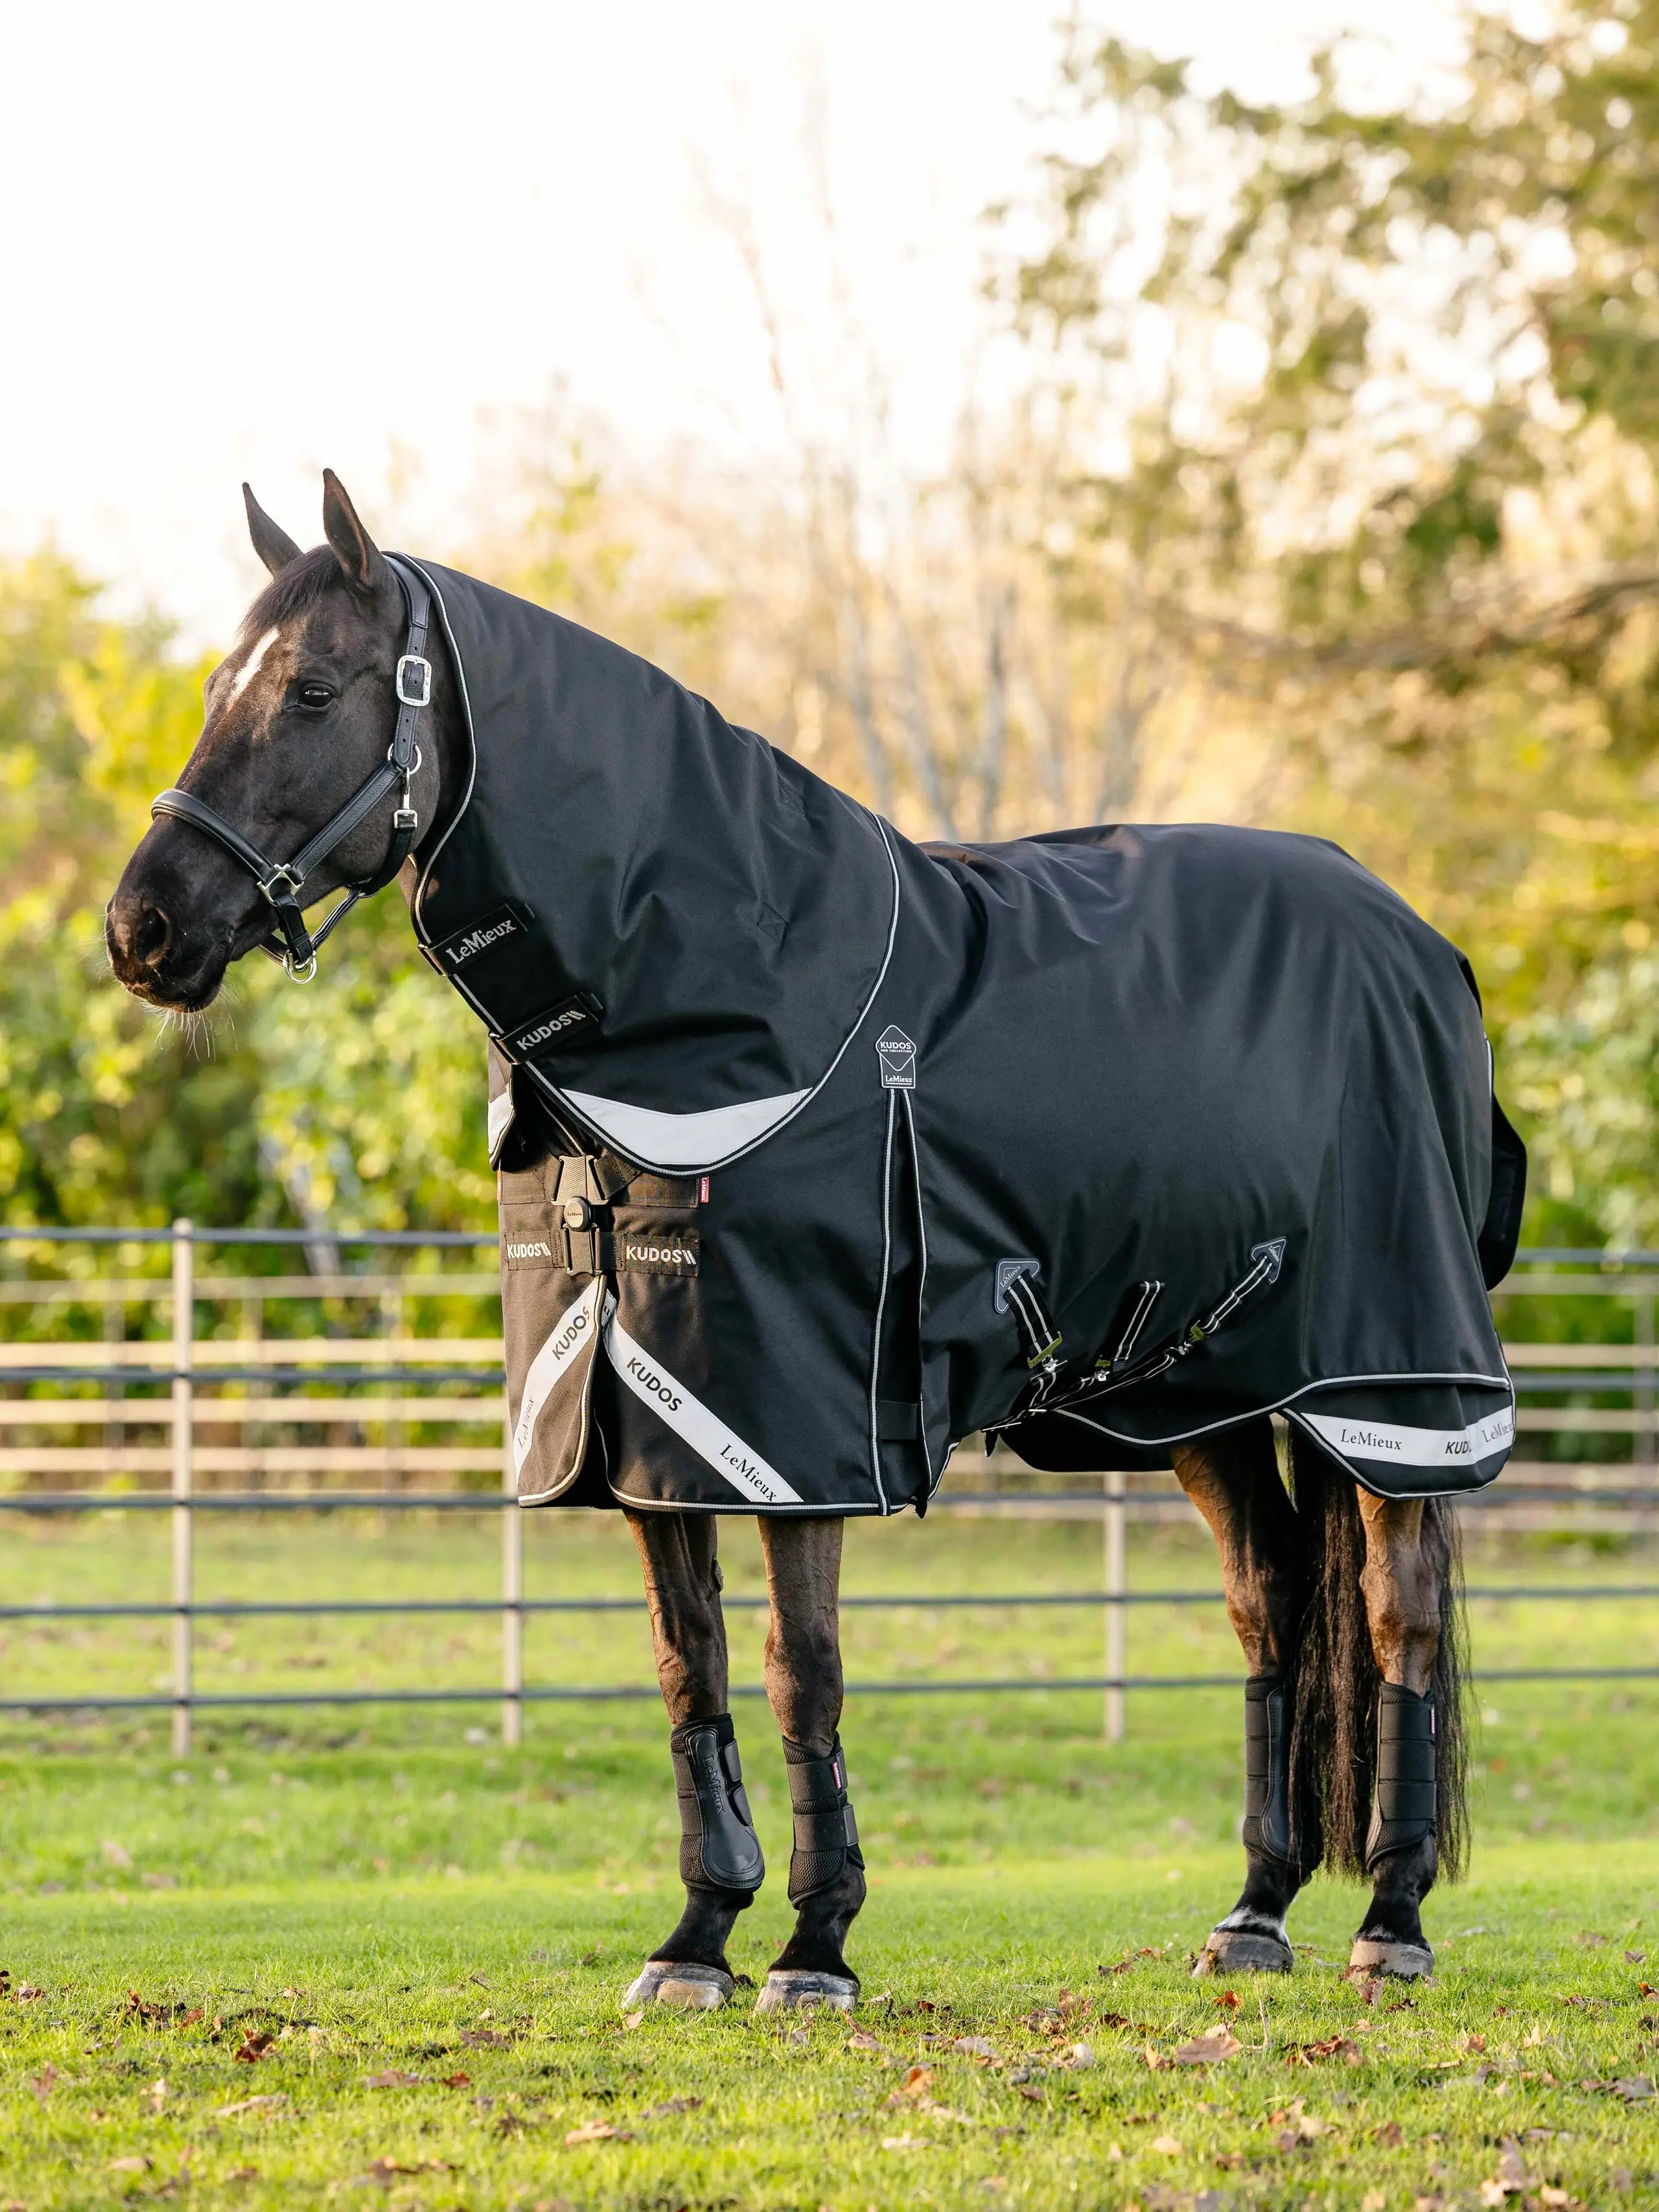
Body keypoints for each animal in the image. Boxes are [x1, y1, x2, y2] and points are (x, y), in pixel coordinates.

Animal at [107, 473, 1524, 2011]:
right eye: (212, 686)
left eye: (311, 688)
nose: (143, 929)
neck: (731, 994)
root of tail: (1422, 944)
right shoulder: (645, 1421)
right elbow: (691, 1667)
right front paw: (695, 1937)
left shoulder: (794, 1429)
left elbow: (805, 1668)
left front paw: (812, 1944)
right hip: (1197, 1387)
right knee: (1266, 1605)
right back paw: (1255, 1908)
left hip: (1391, 1384)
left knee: (1396, 1612)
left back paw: (1391, 1918)